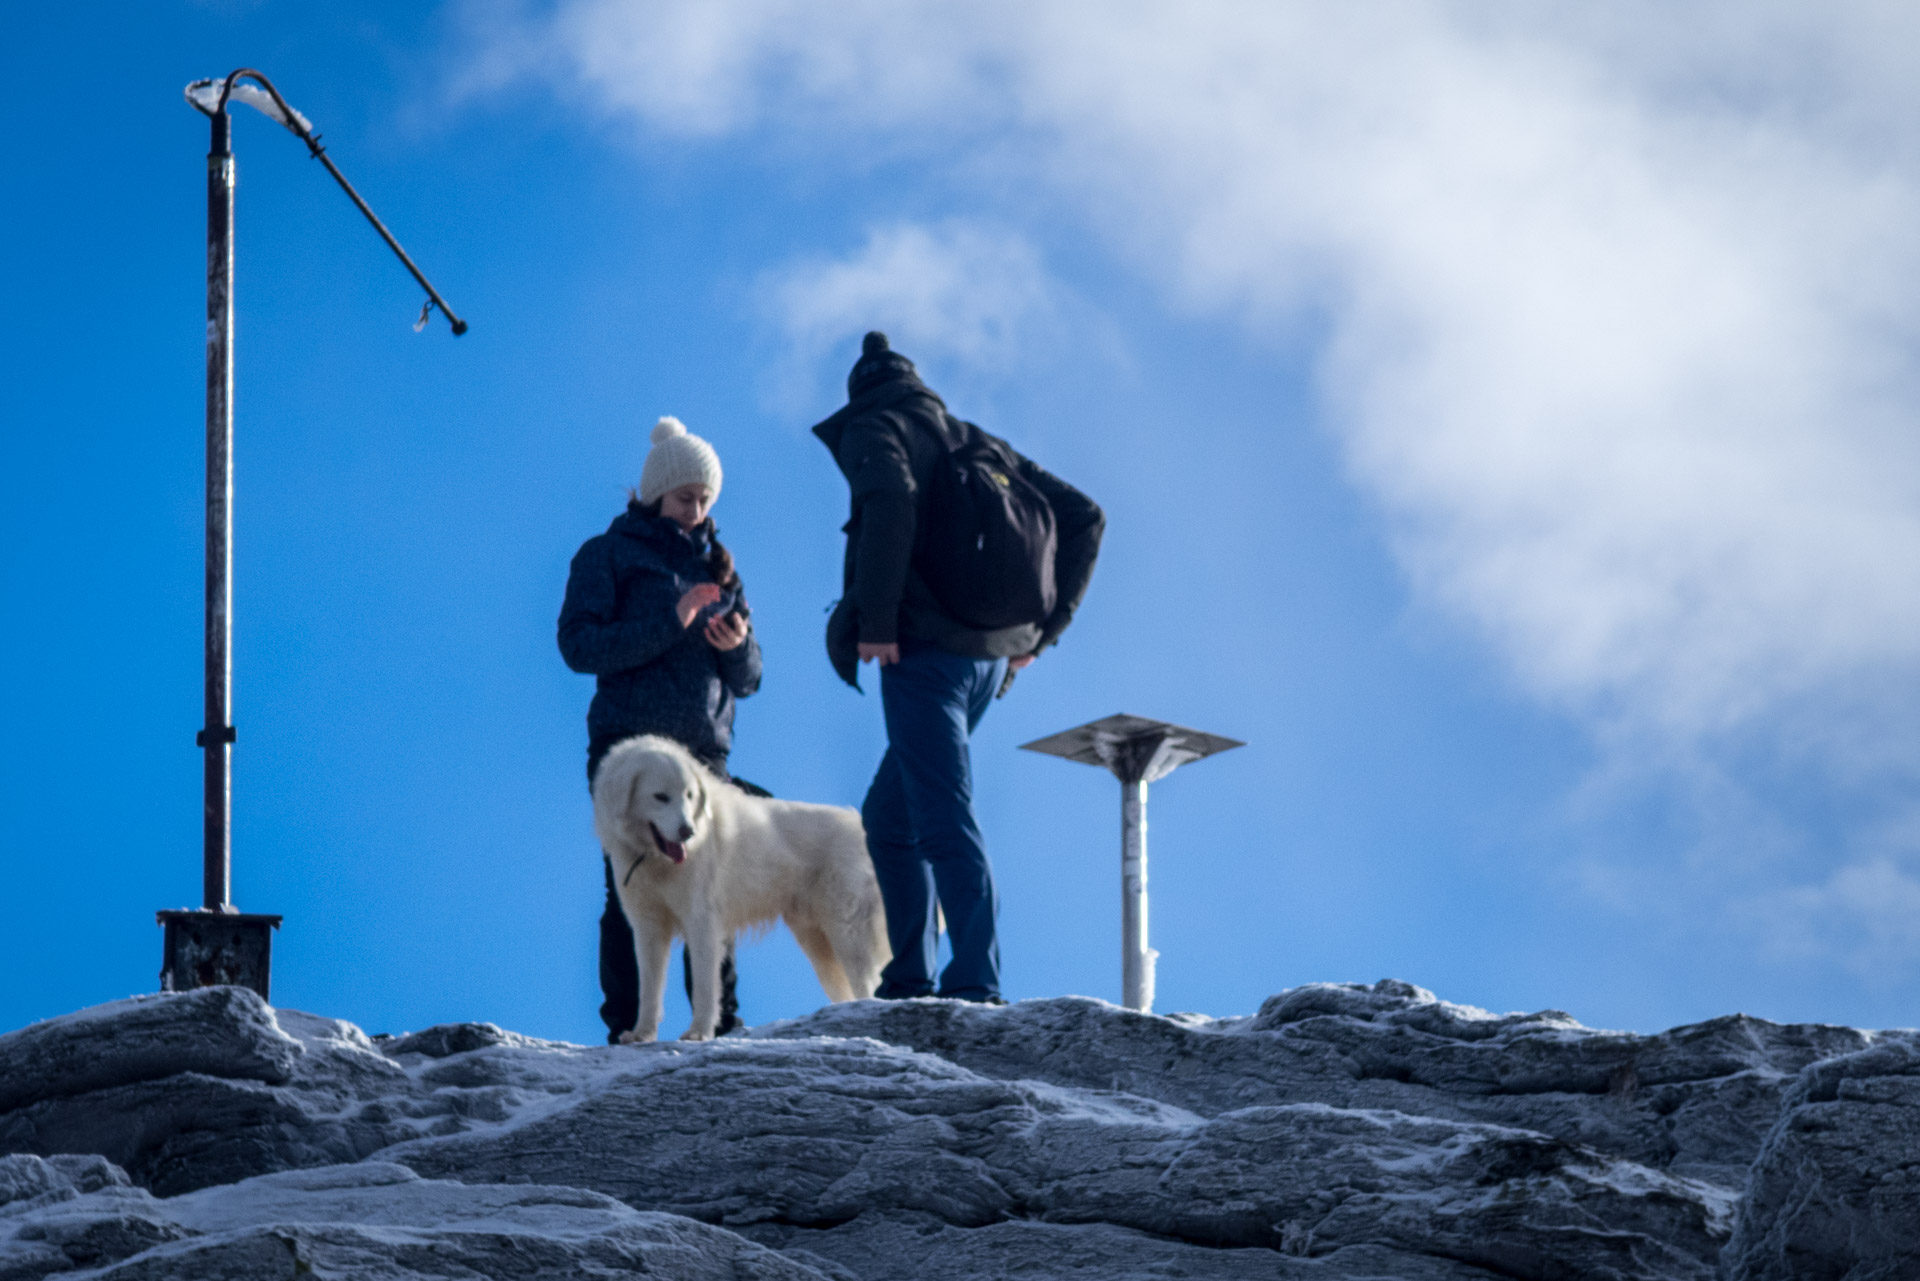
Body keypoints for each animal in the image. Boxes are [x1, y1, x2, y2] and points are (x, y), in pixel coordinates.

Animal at [587, 741, 887, 1044]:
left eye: (689, 795)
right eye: (660, 797)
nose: (688, 832)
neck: (656, 860)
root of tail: (858, 823)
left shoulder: (702, 923)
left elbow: (704, 986)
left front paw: (699, 1032)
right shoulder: (648, 926)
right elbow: (648, 989)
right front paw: (642, 1034)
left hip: (848, 934)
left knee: (870, 984)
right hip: (819, 945)